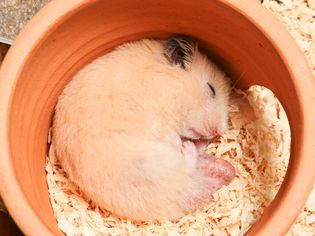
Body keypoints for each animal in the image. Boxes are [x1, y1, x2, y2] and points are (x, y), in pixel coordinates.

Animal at [53, 35, 237, 221]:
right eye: (211, 89)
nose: (218, 131)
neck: (168, 85)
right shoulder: (160, 119)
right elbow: (171, 135)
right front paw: (180, 141)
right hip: (150, 162)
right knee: (187, 166)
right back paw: (187, 146)